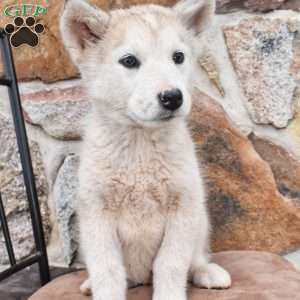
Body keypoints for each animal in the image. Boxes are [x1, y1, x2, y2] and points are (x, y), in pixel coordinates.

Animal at [59, 0, 231, 298]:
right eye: (129, 61)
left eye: (178, 57)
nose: (172, 97)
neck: (140, 146)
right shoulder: (96, 213)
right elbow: (107, 270)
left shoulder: (183, 206)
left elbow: (170, 264)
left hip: (200, 221)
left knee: (196, 258)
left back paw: (207, 272)